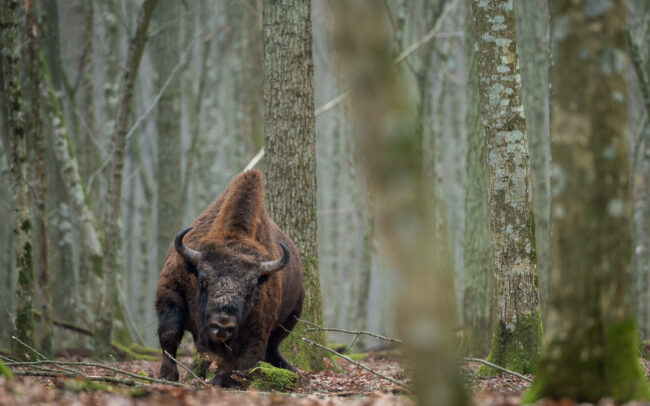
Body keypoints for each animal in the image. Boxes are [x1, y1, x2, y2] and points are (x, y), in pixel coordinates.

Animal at [154, 170, 304, 386]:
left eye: (252, 287)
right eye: (202, 280)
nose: (222, 325)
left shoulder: (256, 327)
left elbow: (243, 358)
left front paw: (221, 380)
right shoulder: (171, 290)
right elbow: (170, 334)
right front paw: (167, 375)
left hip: (292, 316)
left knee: (271, 347)